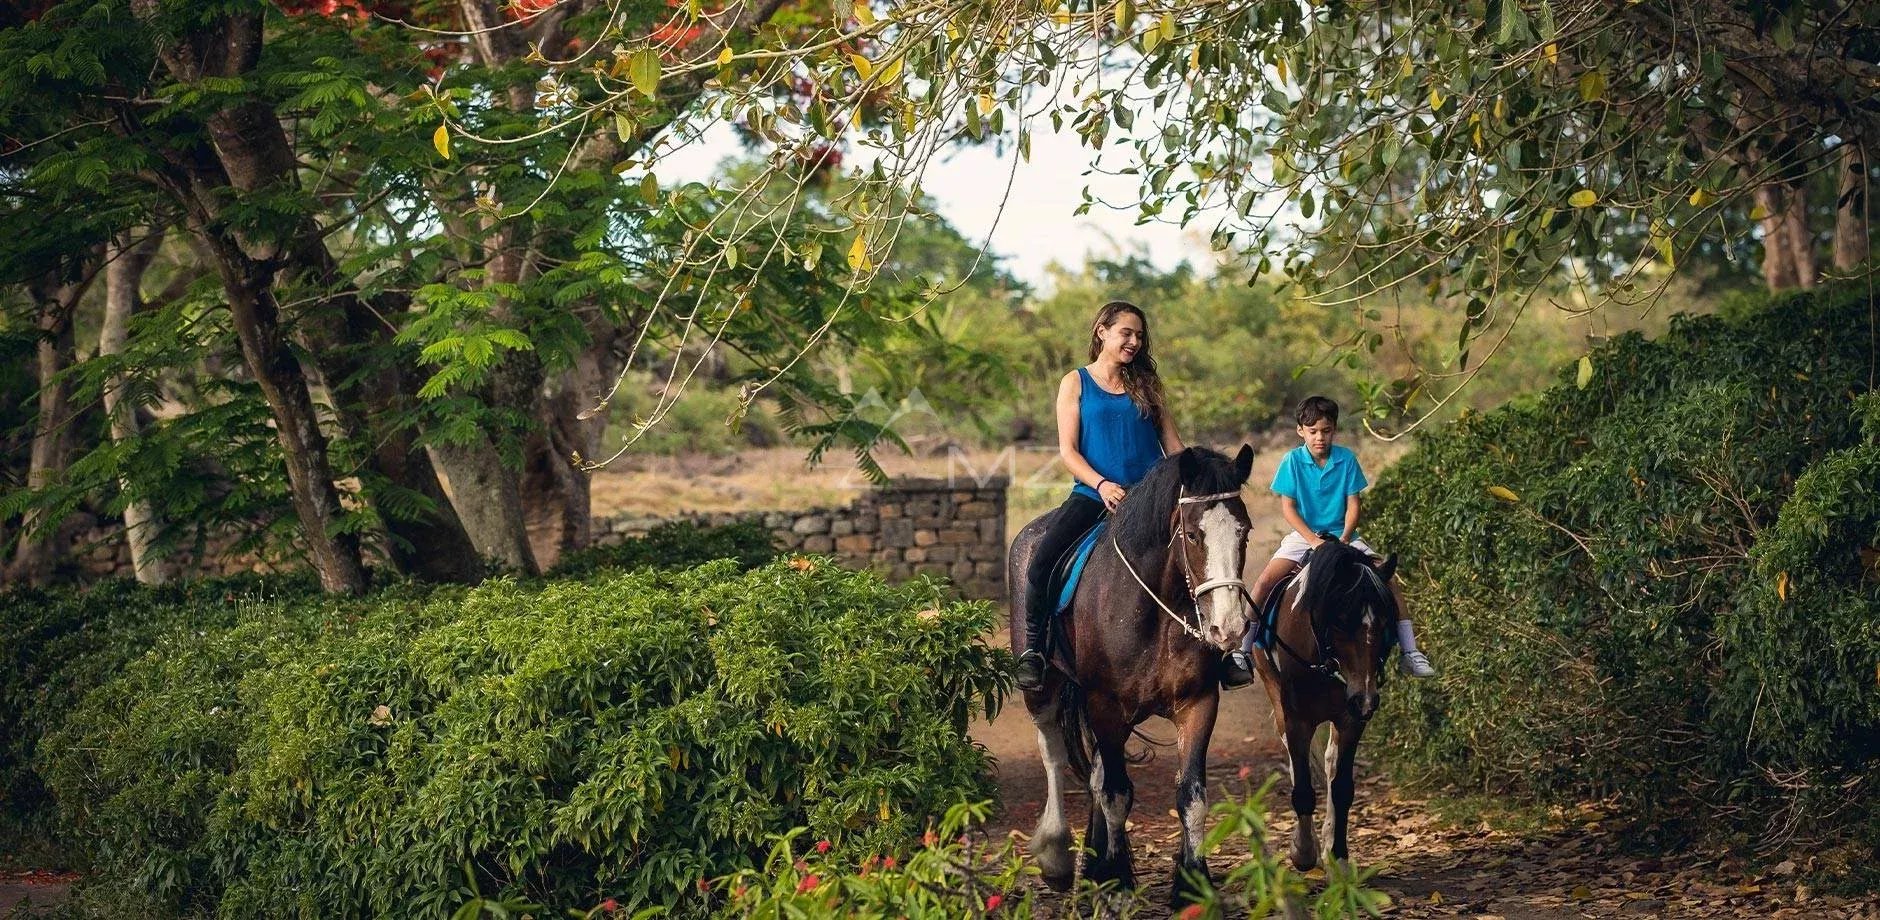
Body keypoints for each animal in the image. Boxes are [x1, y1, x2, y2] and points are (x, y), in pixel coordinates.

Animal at [1007, 444, 1255, 903]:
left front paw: (1192, 884)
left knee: (1096, 773)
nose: (1227, 628)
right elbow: (1117, 794)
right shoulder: (1105, 705)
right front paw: (1118, 881)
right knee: (1053, 753)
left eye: (1243, 532)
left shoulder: (1198, 704)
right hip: (1045, 689)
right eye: (1192, 535)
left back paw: (1092, 864)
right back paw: (1057, 856)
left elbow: (1191, 797)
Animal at [1248, 538, 1398, 869]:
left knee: (1329, 762)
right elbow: (1303, 788)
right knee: (1295, 761)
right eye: (1340, 622)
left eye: (1385, 623)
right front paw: (1303, 852)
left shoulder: (1351, 719)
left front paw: (1339, 858)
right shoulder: (1296, 718)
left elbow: (1341, 788)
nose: (1366, 699)